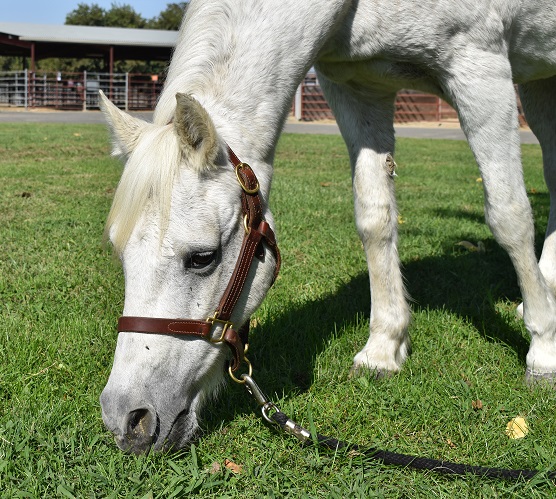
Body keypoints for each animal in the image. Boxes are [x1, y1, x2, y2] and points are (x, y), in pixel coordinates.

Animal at [99, 0, 556, 454]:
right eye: (120, 256)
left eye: (202, 258)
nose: (129, 419)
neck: (347, 10)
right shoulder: (358, 88)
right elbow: (375, 218)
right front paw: (382, 349)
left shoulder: (481, 66)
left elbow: (509, 214)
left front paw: (544, 351)